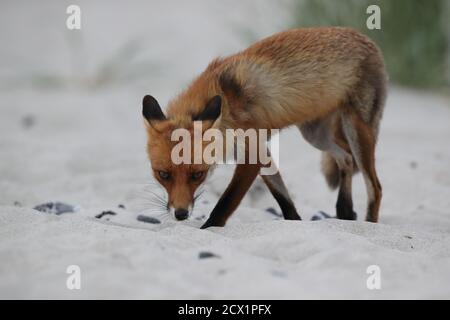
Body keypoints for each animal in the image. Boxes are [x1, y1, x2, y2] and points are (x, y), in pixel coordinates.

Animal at [143, 27, 386, 228]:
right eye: (163, 174)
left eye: (197, 175)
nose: (180, 214)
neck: (226, 102)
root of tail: (365, 38)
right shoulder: (259, 148)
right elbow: (282, 196)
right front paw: (295, 222)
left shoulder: (251, 155)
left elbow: (225, 203)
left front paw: (208, 228)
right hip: (315, 135)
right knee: (345, 159)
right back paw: (345, 211)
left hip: (356, 131)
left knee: (375, 187)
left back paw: (369, 224)